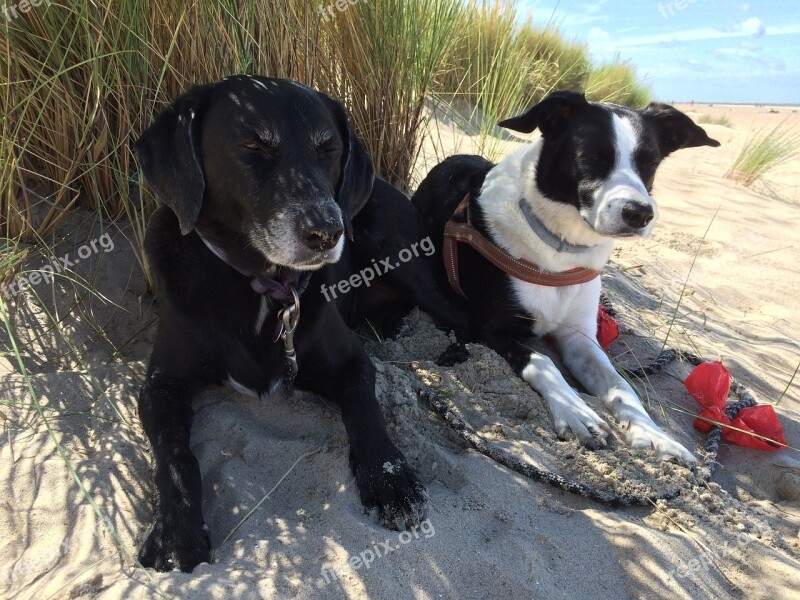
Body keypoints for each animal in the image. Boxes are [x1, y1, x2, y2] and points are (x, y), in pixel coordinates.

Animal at [135, 75, 466, 572]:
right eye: (252, 145)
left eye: (328, 149)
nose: (327, 231)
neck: (260, 284)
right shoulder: (160, 386)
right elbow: (176, 457)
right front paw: (177, 534)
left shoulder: (352, 362)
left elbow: (366, 410)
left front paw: (391, 479)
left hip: (404, 258)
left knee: (468, 317)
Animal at [412, 90, 720, 464]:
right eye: (592, 156)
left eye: (650, 162)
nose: (639, 213)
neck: (559, 249)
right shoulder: (488, 328)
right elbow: (543, 361)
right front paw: (576, 413)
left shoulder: (580, 338)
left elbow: (621, 385)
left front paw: (655, 436)